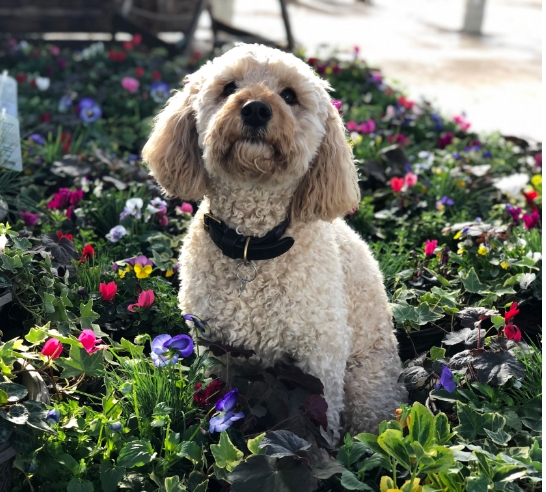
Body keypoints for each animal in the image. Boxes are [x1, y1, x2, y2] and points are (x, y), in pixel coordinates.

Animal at [142, 42, 406, 434]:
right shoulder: (216, 348)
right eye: (229, 87)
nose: (256, 108)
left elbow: (321, 413)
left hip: (368, 383)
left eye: (289, 95)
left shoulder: (320, 354)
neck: (252, 245)